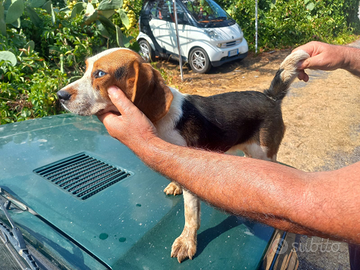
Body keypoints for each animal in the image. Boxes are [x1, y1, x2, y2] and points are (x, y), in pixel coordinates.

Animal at [56, 47, 310, 262]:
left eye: (100, 74)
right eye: (85, 68)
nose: (59, 95)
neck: (161, 119)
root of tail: (269, 96)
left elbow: (190, 216)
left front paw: (187, 243)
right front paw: (175, 185)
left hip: (265, 152)